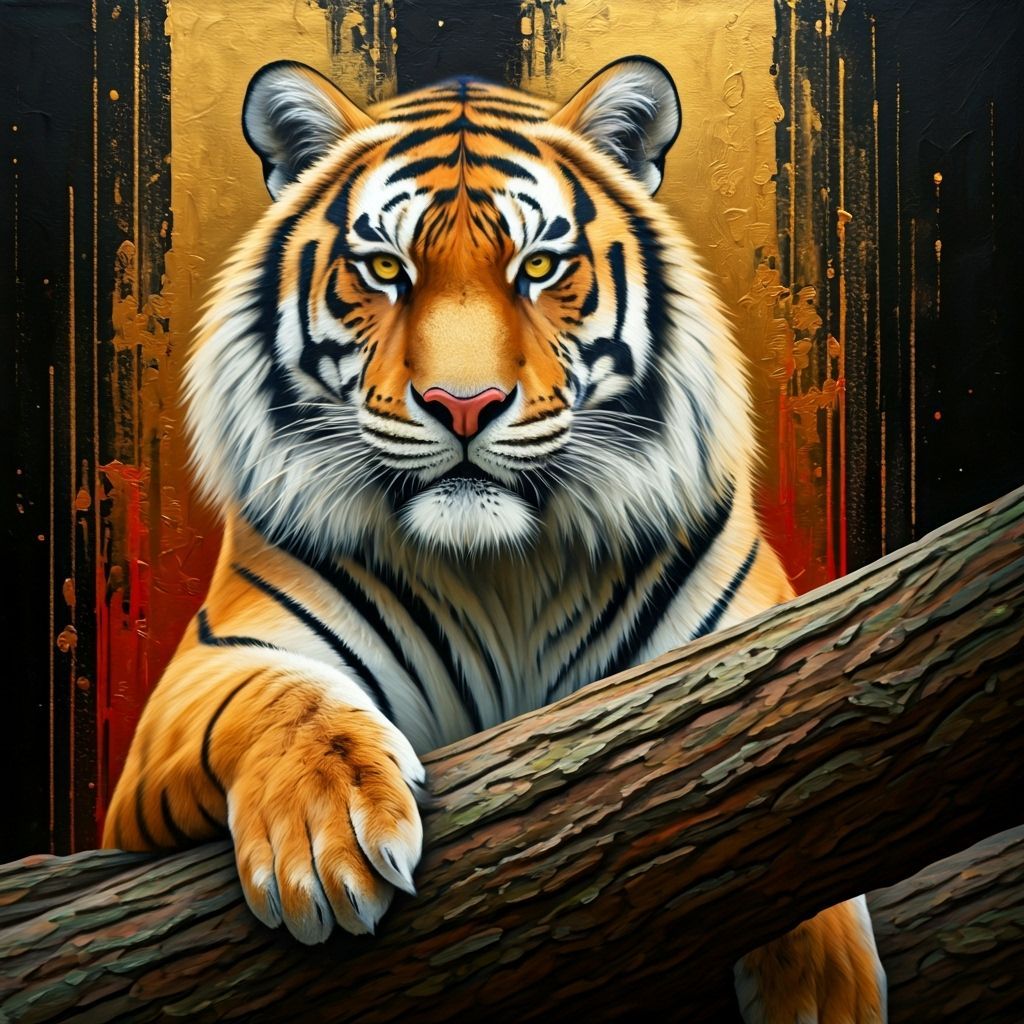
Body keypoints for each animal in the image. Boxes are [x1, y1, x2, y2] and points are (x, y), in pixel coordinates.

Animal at [102, 56, 887, 1022]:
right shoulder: (194, 682)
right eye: (385, 268)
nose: (464, 405)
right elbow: (284, 696)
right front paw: (327, 840)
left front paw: (825, 989)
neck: (500, 567)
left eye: (539, 265)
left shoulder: (745, 647)